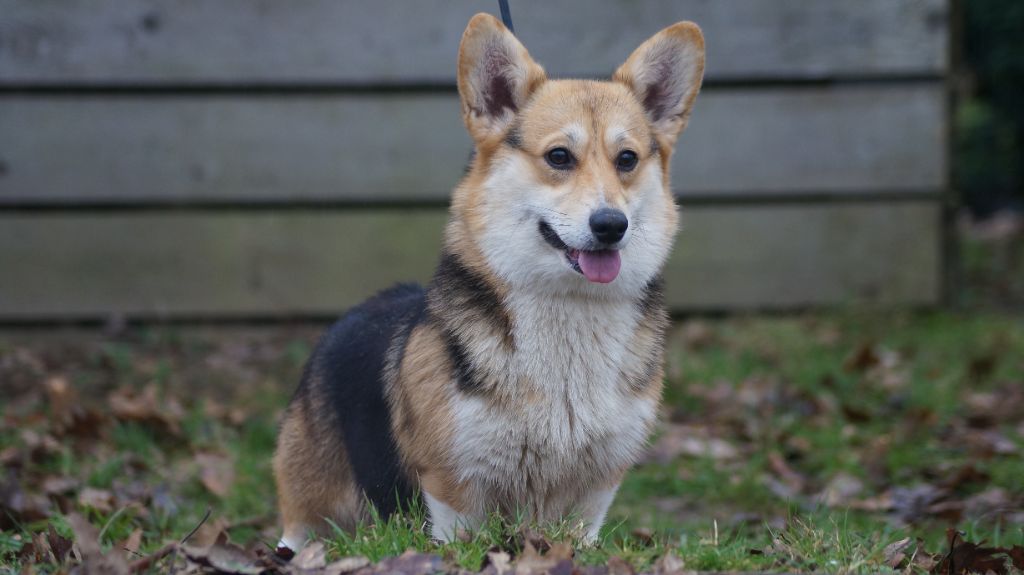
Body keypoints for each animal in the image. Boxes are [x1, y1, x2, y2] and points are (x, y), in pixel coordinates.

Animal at [272, 14, 704, 552]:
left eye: (627, 160)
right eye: (559, 157)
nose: (611, 225)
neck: (567, 308)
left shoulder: (594, 493)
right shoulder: (454, 484)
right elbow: (460, 538)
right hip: (310, 508)